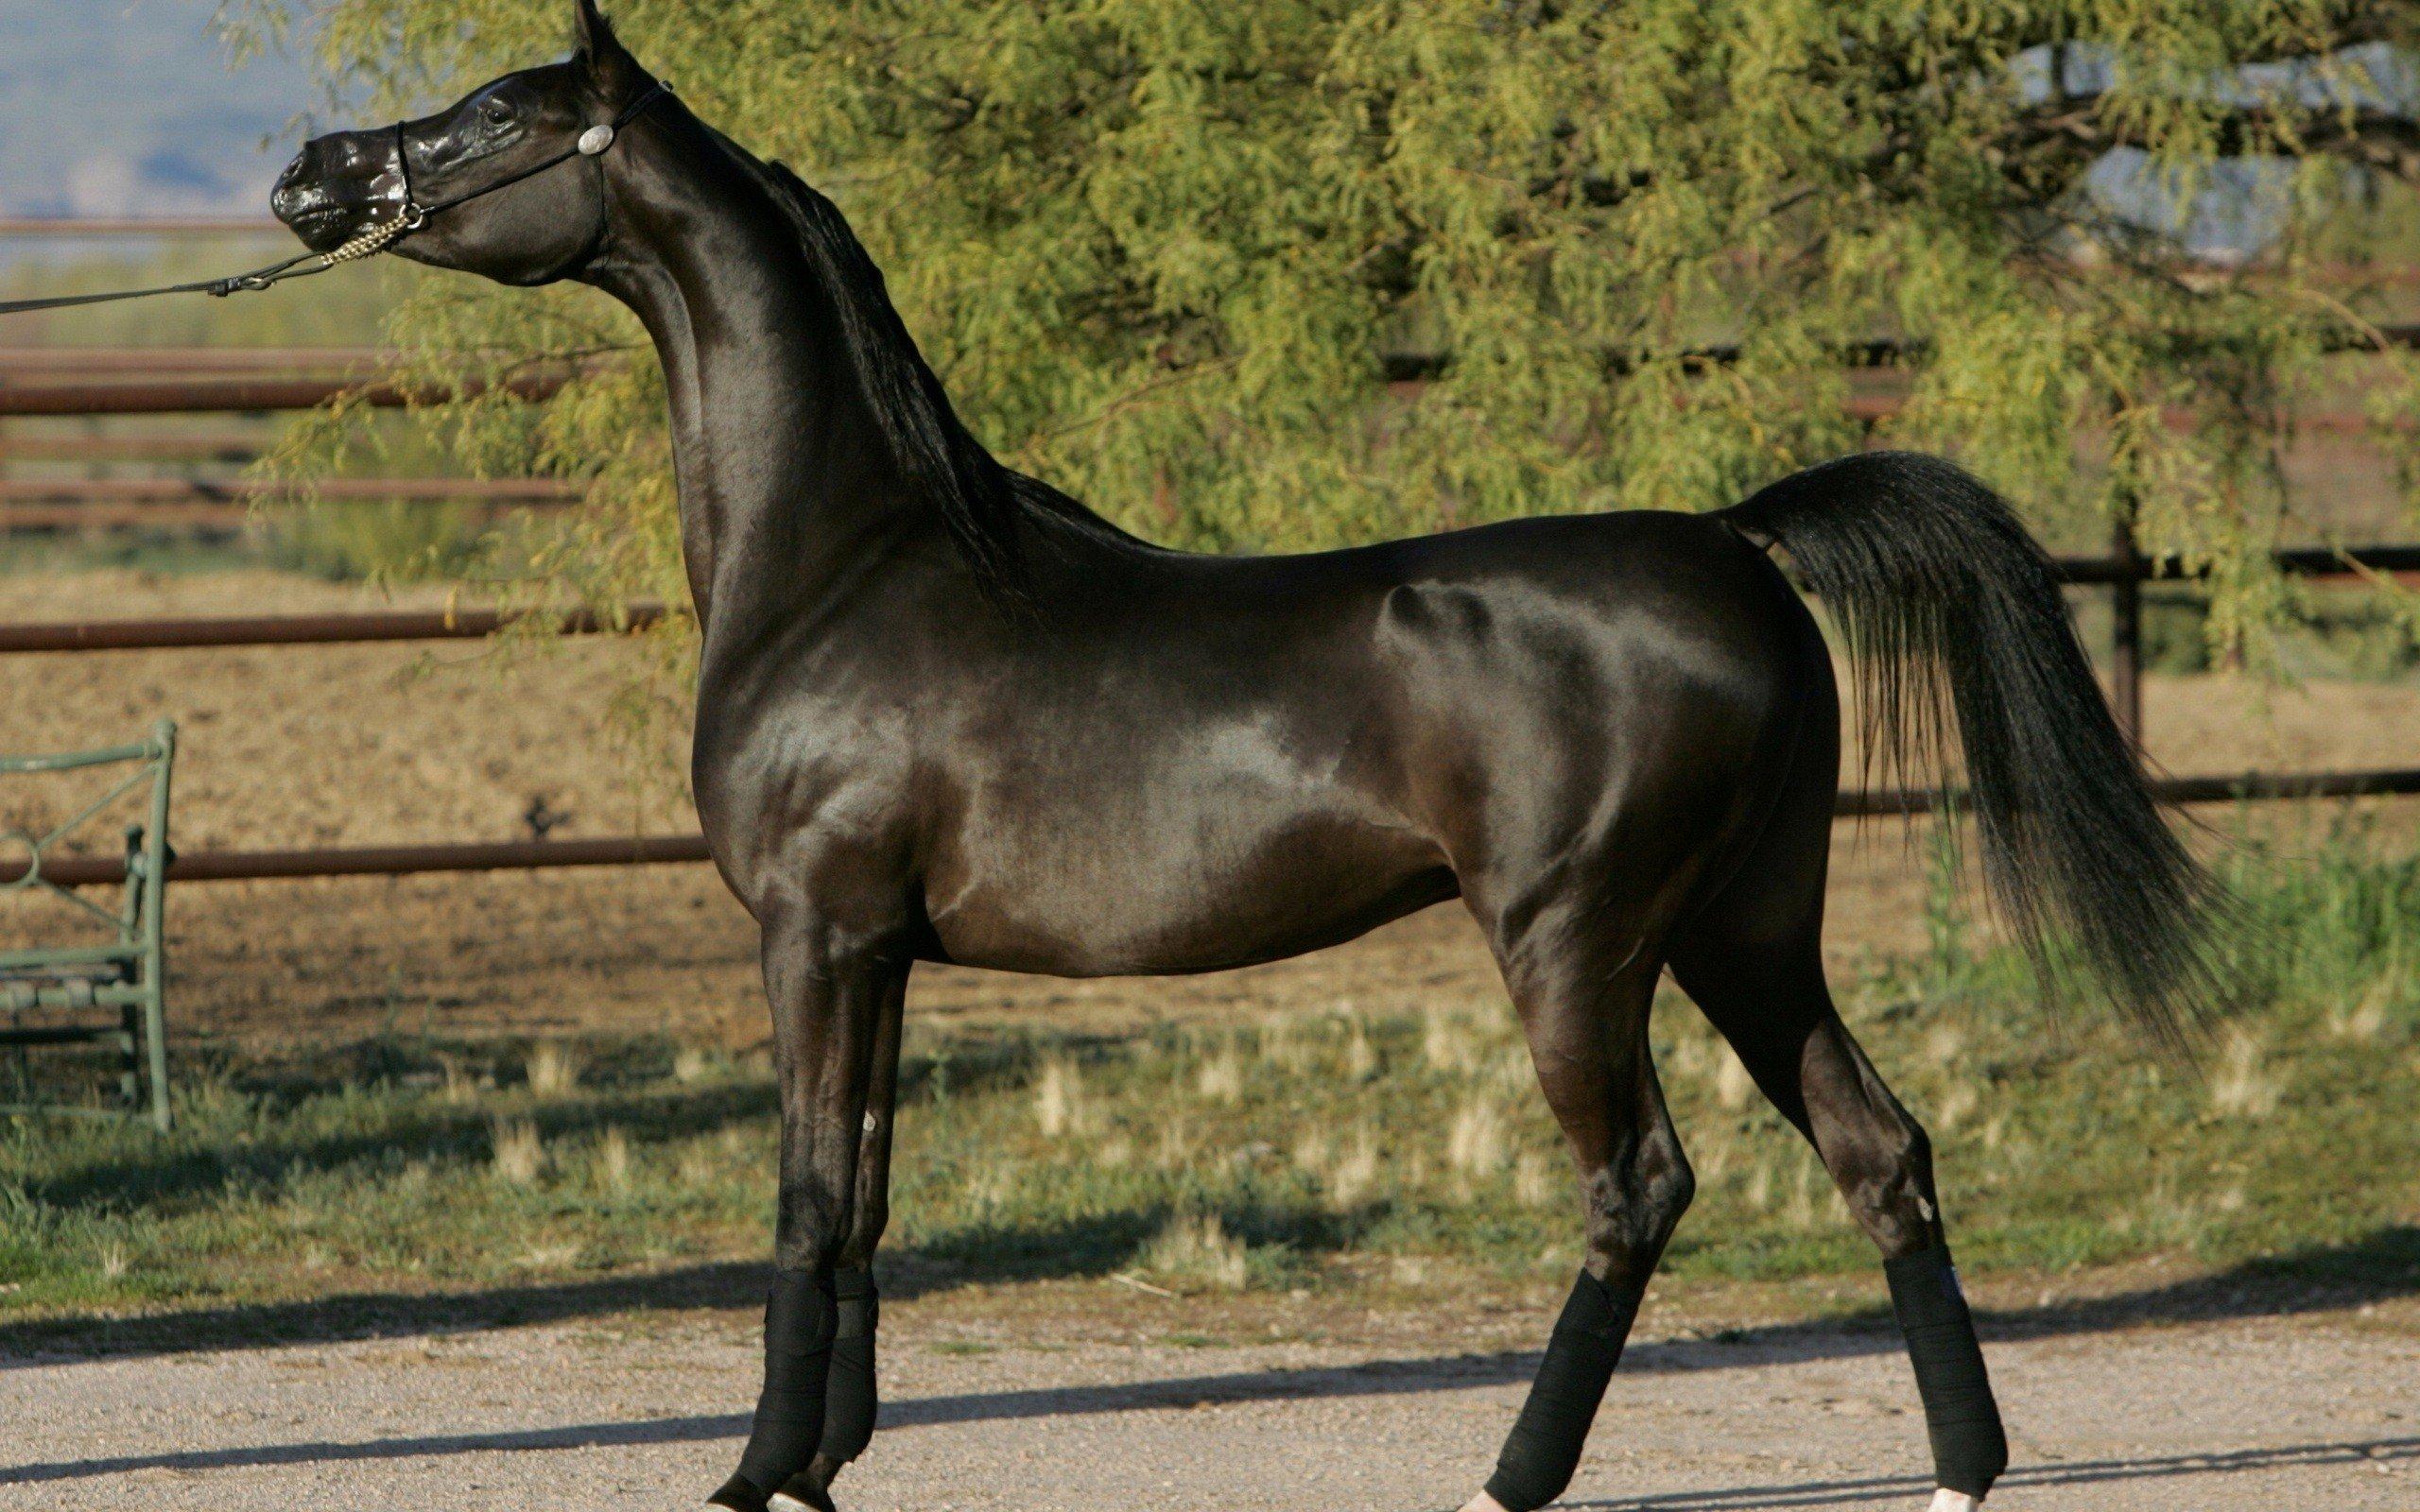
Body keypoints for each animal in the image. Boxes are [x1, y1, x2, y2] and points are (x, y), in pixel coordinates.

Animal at [270, 6, 2233, 1509]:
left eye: (498, 115)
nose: (310, 177)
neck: (849, 557)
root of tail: (1735, 543)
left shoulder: (814, 936)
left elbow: (808, 1200)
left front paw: (757, 1477)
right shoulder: (884, 952)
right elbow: (868, 1203)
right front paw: (824, 1469)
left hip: (1580, 943)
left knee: (1641, 1188)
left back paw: (1508, 1482)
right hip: (1749, 930)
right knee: (1880, 1152)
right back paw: (1959, 1471)